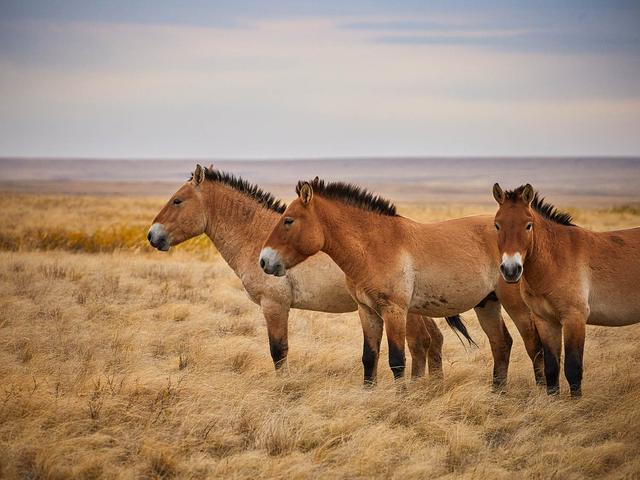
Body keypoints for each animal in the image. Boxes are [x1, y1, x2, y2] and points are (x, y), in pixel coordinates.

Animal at [147, 164, 467, 379]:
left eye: (177, 200)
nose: (152, 236)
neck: (258, 236)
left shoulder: (274, 306)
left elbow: (278, 351)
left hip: (404, 311)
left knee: (421, 343)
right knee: (434, 341)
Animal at [259, 178, 544, 388]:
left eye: (288, 220)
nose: (264, 261)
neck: (373, 246)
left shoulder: (394, 311)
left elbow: (397, 359)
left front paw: (401, 400)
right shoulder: (367, 311)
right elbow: (369, 357)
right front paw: (369, 394)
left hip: (516, 305)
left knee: (534, 344)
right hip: (487, 304)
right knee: (502, 344)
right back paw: (498, 393)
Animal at [492, 183, 640, 396]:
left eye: (528, 225)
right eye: (497, 225)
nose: (511, 270)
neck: (556, 259)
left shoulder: (574, 318)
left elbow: (573, 368)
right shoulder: (546, 321)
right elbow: (551, 368)